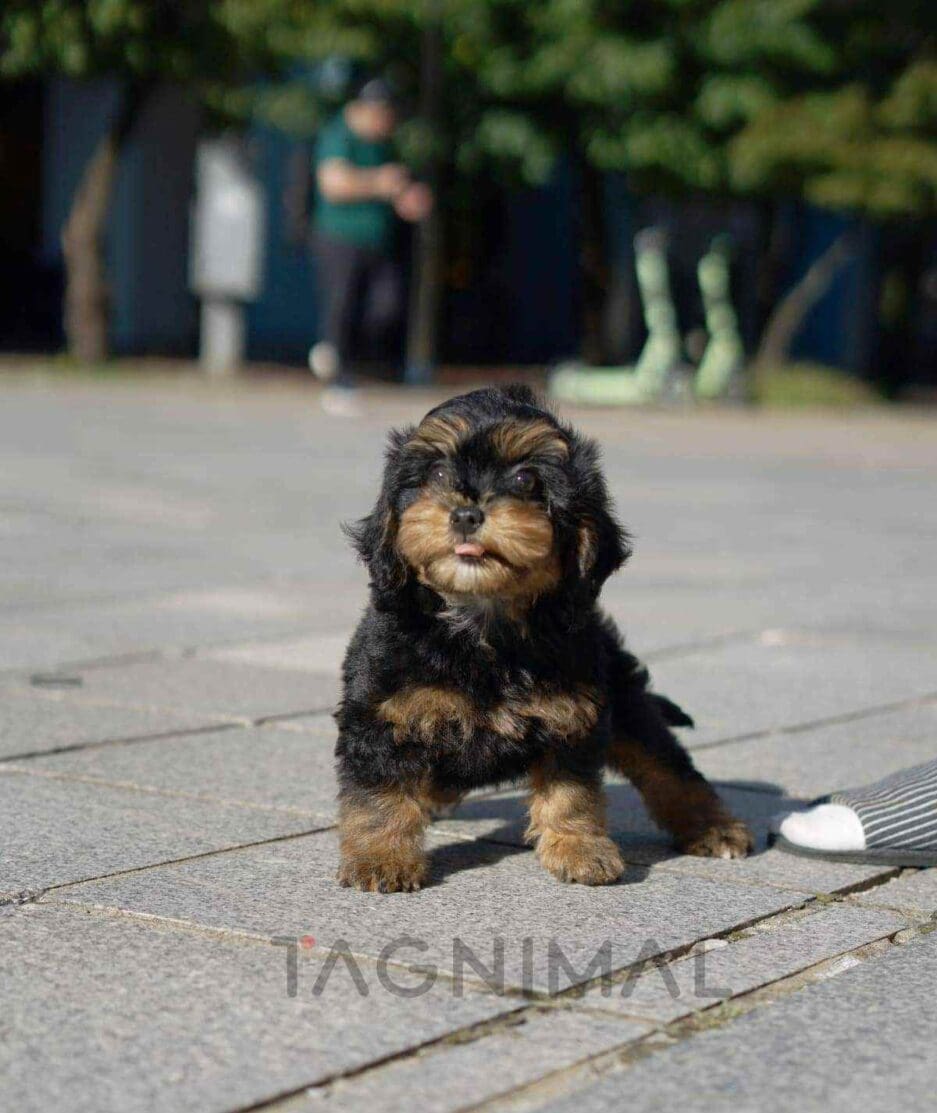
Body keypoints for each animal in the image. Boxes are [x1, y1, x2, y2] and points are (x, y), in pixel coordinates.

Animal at [336, 387, 752, 890]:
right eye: (436, 473)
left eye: (525, 478)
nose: (466, 513)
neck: (483, 626)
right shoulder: (383, 713)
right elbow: (381, 790)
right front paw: (380, 858)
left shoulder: (572, 717)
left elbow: (571, 792)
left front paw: (579, 848)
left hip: (622, 694)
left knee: (665, 762)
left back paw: (712, 827)